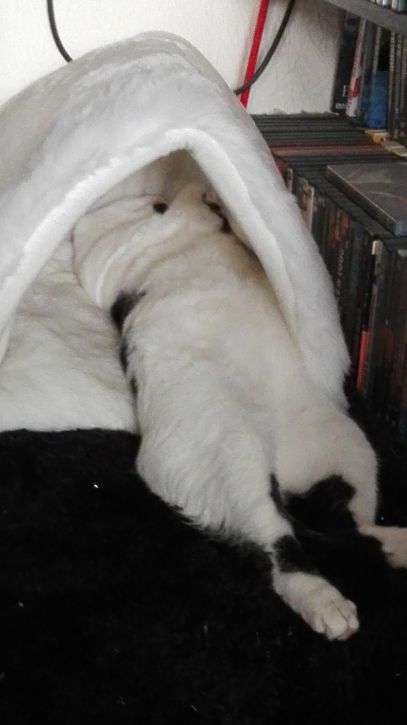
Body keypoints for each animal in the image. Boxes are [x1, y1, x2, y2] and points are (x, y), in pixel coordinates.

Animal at [72, 181, 407, 640]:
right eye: (155, 203)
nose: (205, 194)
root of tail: (278, 462)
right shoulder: (103, 264)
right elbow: (163, 225)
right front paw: (201, 196)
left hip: (347, 447)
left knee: (347, 526)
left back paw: (398, 543)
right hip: (234, 449)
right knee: (277, 539)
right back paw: (325, 601)